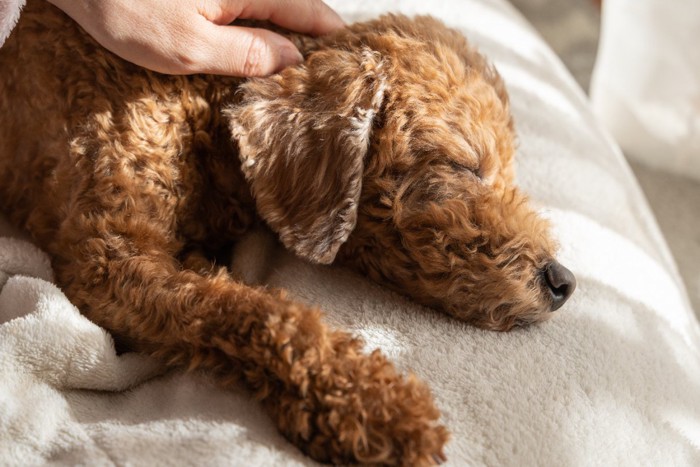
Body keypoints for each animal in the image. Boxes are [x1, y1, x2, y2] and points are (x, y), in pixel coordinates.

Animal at [0, 2, 576, 464]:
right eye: (465, 167)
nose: (564, 282)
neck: (199, 101)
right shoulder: (109, 257)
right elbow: (256, 309)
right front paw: (380, 412)